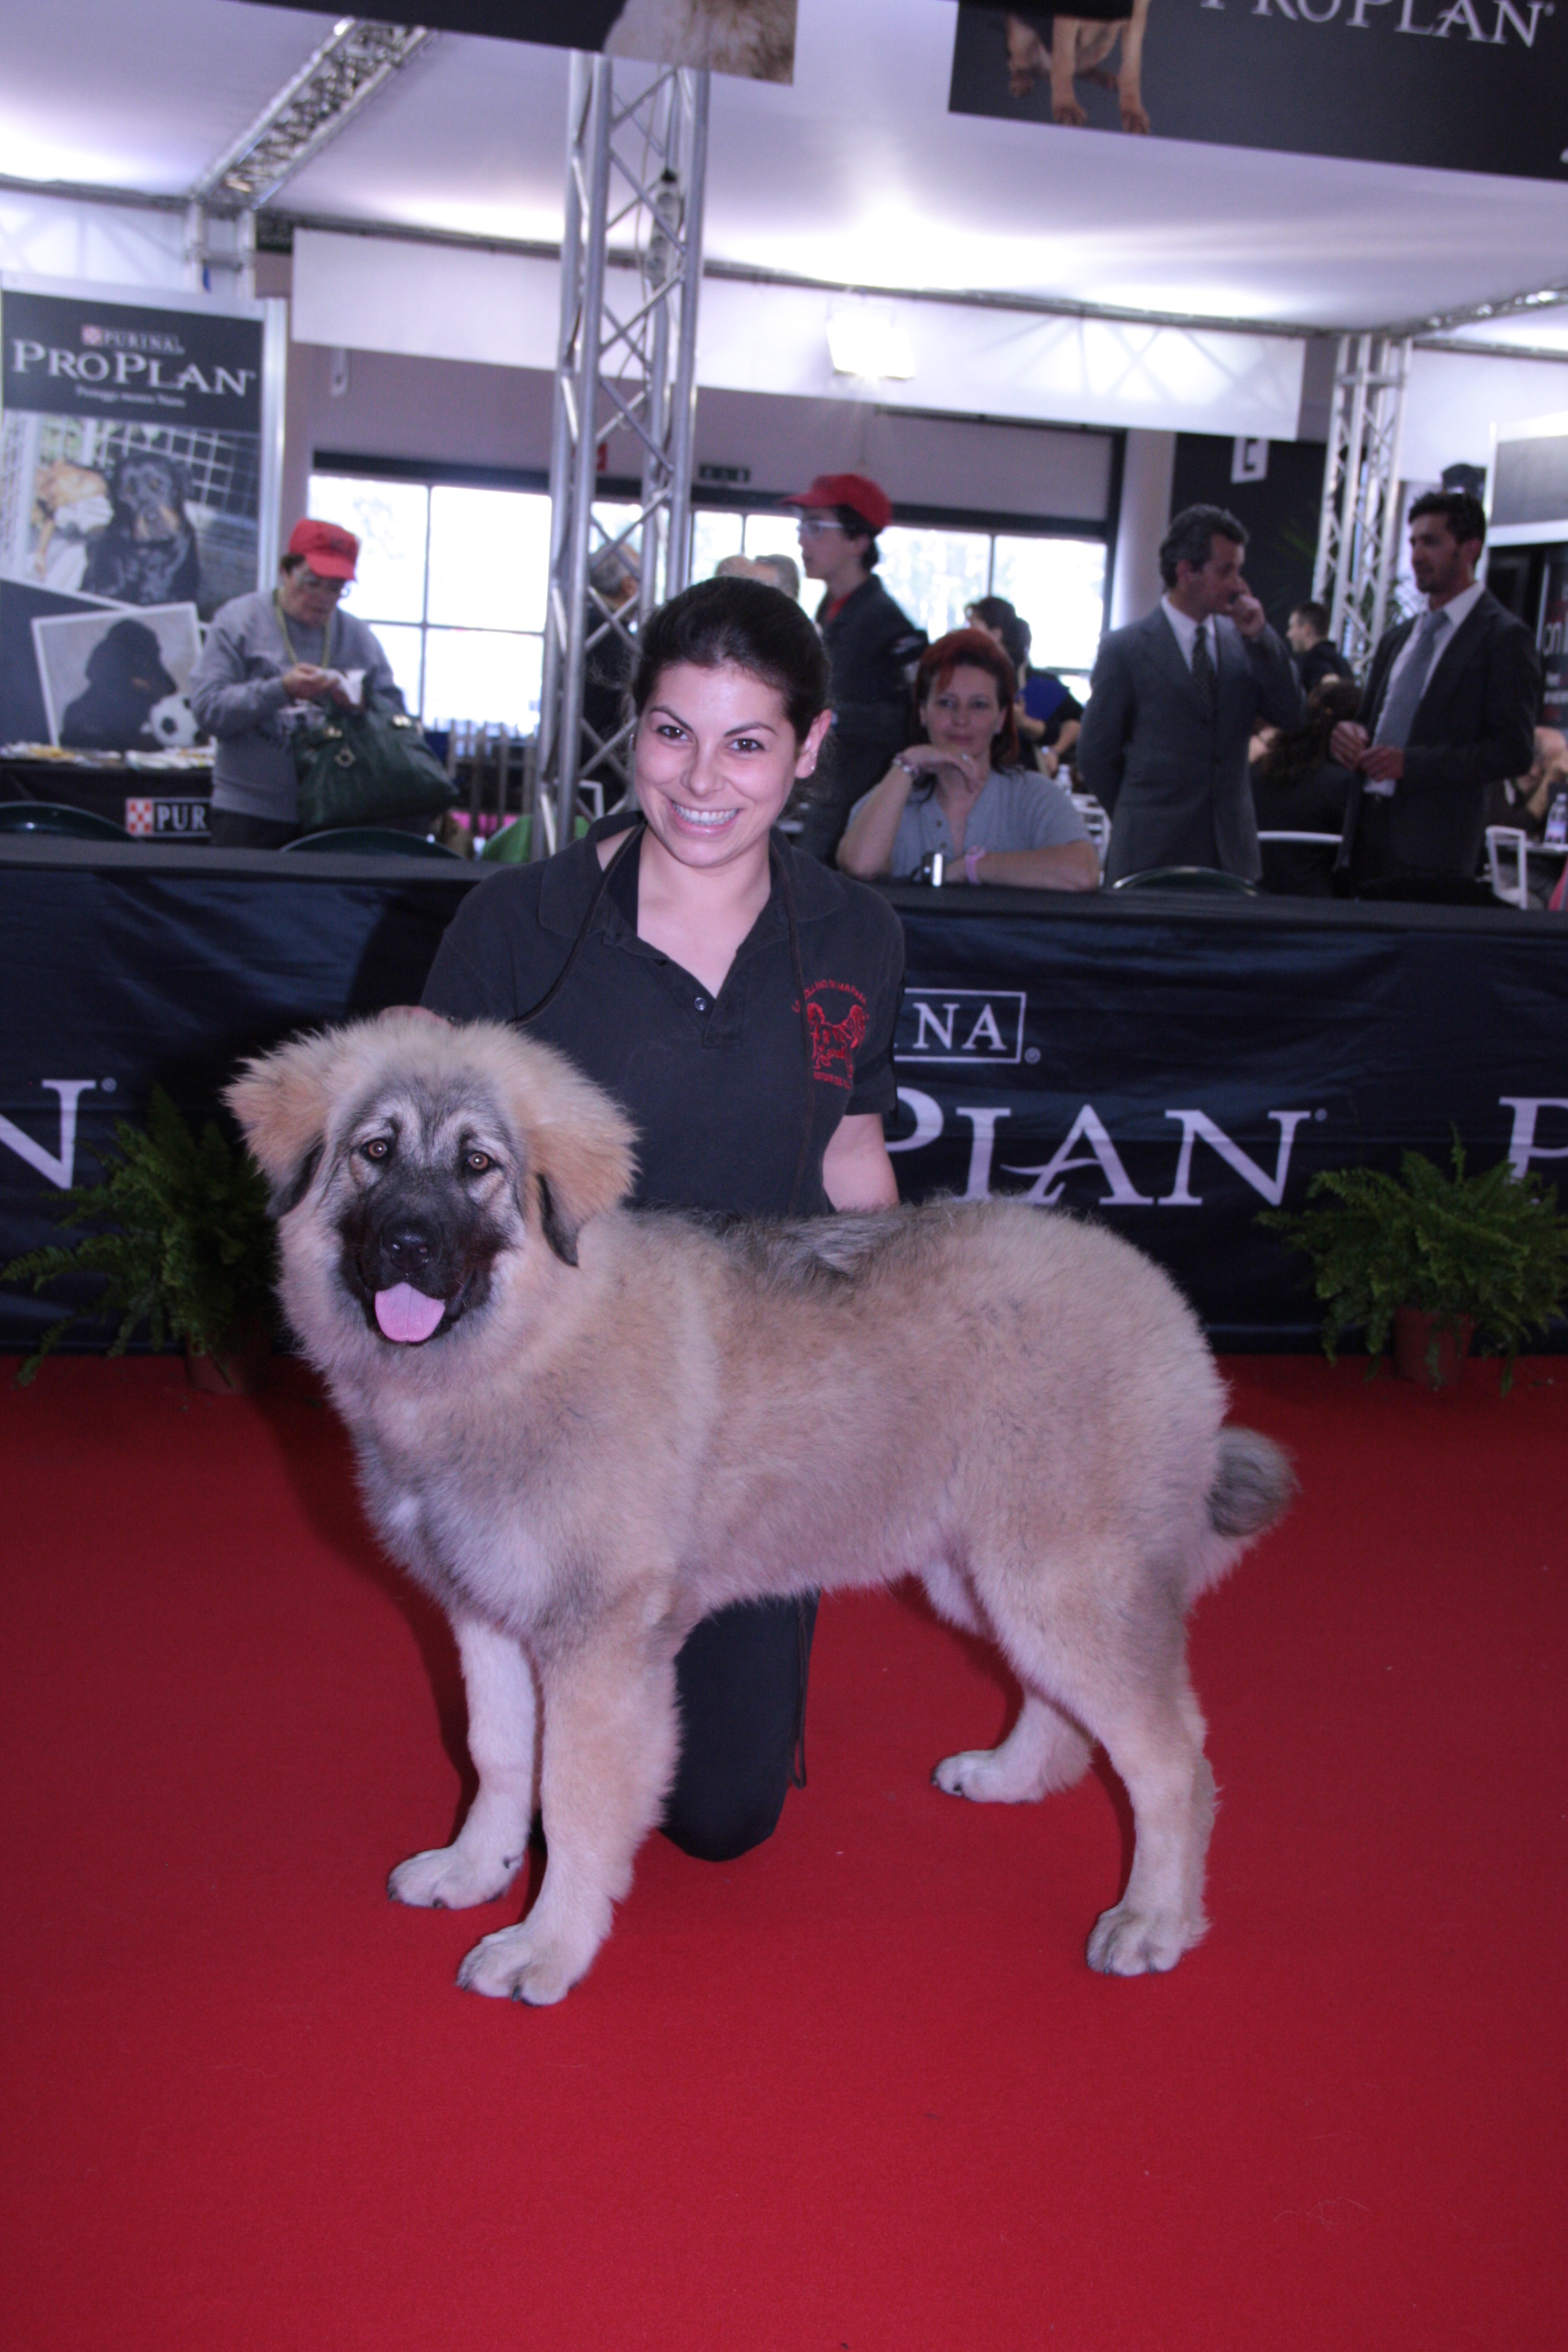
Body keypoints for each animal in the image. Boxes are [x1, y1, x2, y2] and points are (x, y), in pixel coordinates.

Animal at [230, 1011, 1288, 2004]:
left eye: (478, 1166)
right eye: (375, 1152)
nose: (407, 1243)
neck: (524, 1347)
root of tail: (1150, 1288)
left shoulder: (599, 1643)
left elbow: (572, 1797)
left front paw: (548, 1945)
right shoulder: (486, 1612)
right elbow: (496, 1755)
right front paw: (473, 1869)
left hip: (1058, 1580)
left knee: (1172, 1761)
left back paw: (1152, 1919)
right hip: (980, 1576)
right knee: (1061, 1706)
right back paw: (1011, 1779)